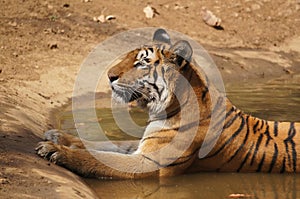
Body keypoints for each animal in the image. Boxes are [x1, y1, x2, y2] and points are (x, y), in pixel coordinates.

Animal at [35, 28, 300, 179]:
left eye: (142, 63)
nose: (109, 76)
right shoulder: (142, 144)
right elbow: (102, 145)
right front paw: (58, 136)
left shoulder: (149, 162)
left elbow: (98, 158)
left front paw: (56, 150)